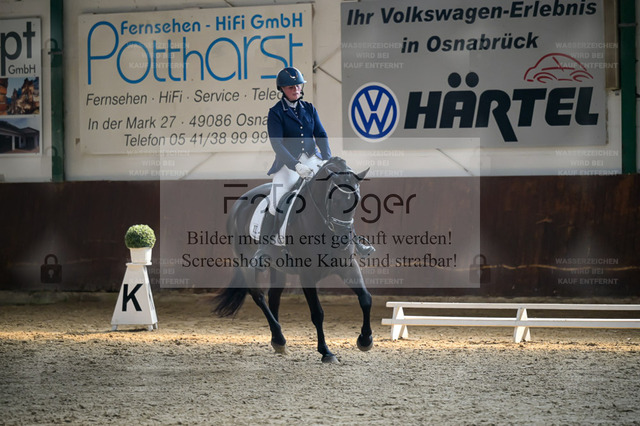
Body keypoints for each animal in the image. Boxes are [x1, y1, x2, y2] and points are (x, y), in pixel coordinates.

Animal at [213, 157, 373, 363]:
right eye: (335, 200)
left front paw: (365, 340)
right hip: (247, 263)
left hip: (278, 267)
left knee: (273, 297)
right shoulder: (307, 275)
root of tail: (238, 204)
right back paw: (280, 339)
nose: (344, 239)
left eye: (357, 201)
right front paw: (326, 352)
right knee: (258, 296)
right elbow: (317, 313)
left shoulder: (347, 266)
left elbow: (366, 298)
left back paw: (277, 341)